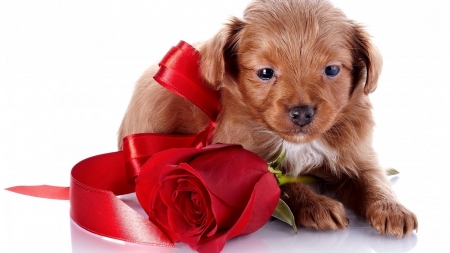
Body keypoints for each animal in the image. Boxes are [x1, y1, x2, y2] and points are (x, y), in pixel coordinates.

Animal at [118, 0, 418, 237]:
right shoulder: (244, 156)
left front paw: (392, 208)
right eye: (265, 73)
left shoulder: (357, 153)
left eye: (332, 70)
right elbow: (283, 185)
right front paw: (318, 205)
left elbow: (374, 180)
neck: (299, 145)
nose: (302, 112)